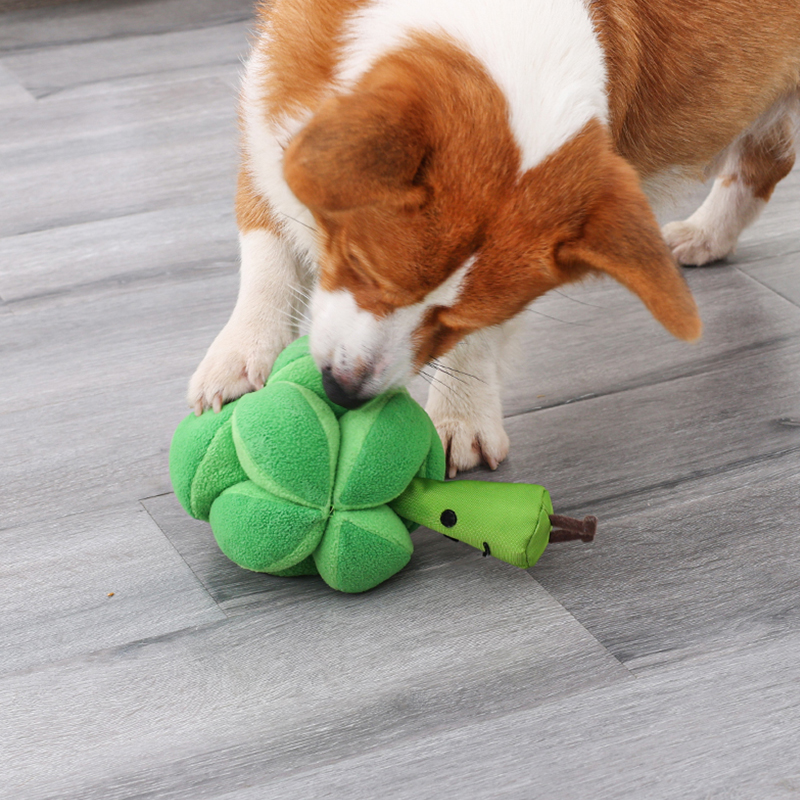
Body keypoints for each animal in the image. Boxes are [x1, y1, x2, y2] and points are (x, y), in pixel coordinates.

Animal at [189, 0, 800, 476]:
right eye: (359, 264)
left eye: (454, 321)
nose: (343, 391)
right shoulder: (267, 132)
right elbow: (267, 261)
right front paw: (237, 359)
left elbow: (477, 345)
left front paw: (460, 419)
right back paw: (704, 235)